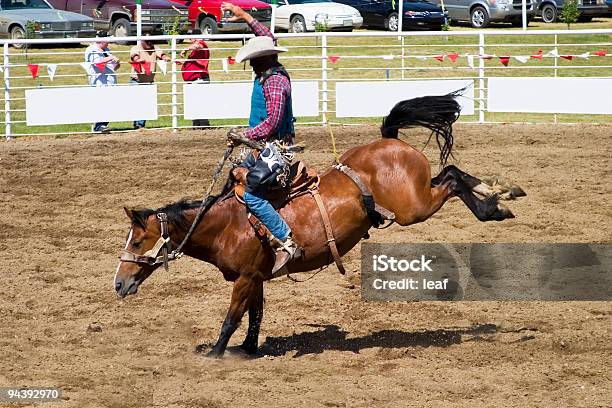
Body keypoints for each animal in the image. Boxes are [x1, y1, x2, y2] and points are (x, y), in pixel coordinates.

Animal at [112, 92, 520, 356]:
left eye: (137, 242)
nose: (118, 284)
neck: (226, 224)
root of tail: (388, 141)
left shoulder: (245, 278)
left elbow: (232, 318)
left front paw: (215, 355)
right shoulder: (256, 277)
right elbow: (255, 317)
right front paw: (248, 350)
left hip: (414, 207)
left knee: (450, 177)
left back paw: (497, 203)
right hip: (417, 196)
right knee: (449, 173)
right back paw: (501, 196)